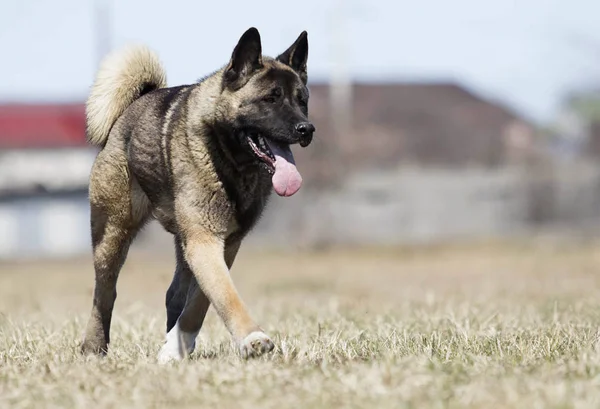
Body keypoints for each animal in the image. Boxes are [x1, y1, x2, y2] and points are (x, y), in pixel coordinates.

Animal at [81, 27, 314, 362]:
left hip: (180, 238)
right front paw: (253, 338)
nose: (306, 129)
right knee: (105, 291)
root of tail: (132, 107)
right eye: (270, 99)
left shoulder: (222, 243)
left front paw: (176, 345)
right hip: (112, 231)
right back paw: (93, 347)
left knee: (174, 293)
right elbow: (225, 295)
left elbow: (202, 300)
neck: (231, 160)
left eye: (302, 100)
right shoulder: (204, 240)